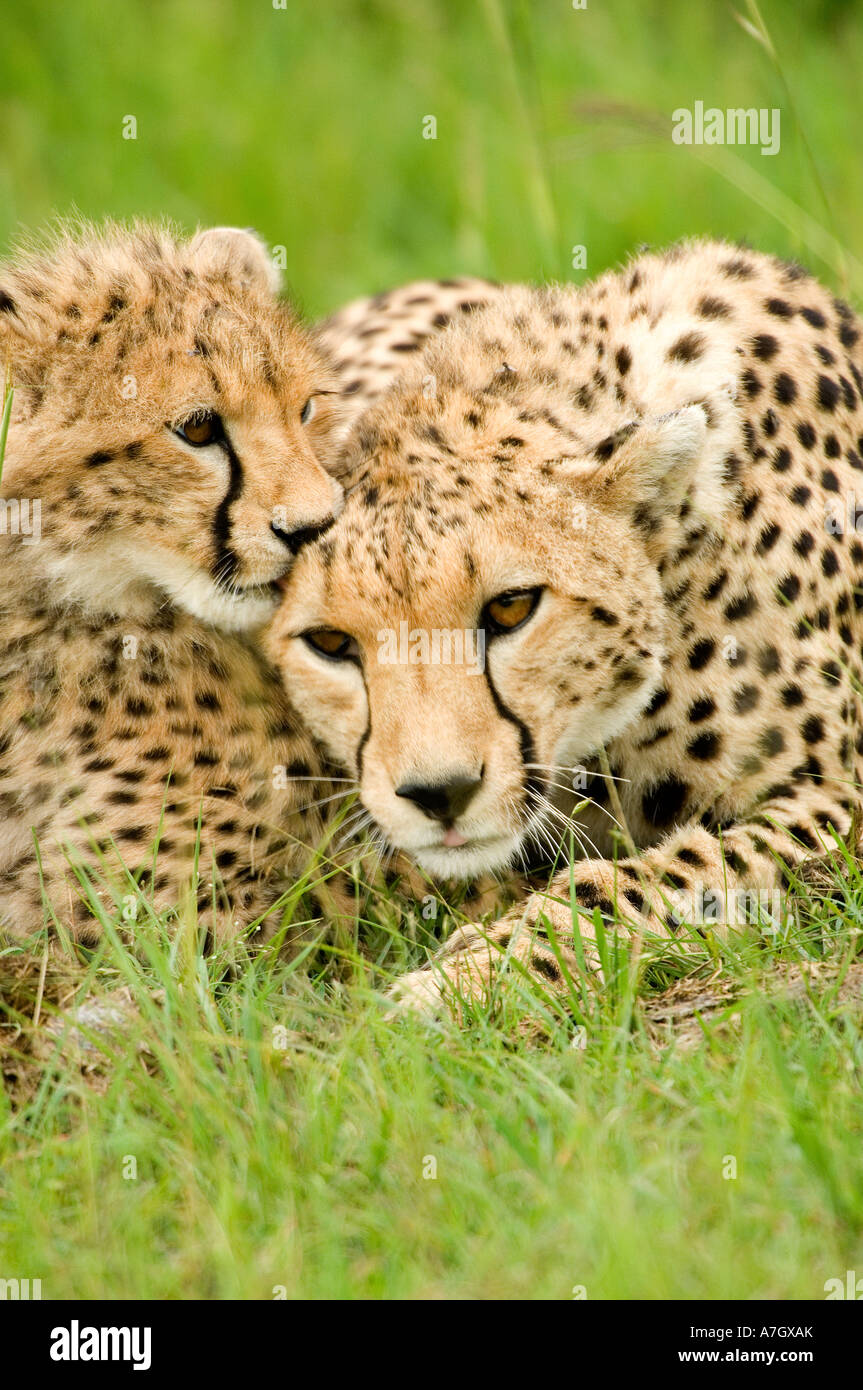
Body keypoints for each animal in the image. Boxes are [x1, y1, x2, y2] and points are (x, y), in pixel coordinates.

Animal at [268, 244, 861, 1017]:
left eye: (511, 608)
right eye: (332, 644)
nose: (439, 794)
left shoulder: (839, 796)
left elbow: (667, 874)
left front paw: (473, 980)